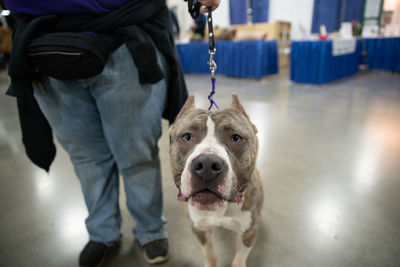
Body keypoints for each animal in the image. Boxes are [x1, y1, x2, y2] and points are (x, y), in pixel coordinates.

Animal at [168, 95, 264, 266]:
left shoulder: (249, 232)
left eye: (236, 137)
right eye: (186, 136)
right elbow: (210, 254)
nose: (207, 164)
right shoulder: (200, 229)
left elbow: (239, 259)